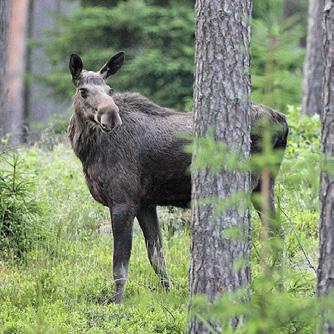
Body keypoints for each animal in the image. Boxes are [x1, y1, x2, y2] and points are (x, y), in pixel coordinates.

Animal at [68, 51, 290, 302]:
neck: (87, 151)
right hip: (263, 186)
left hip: (249, 185)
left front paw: (117, 302)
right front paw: (168, 293)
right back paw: (278, 288)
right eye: (83, 90)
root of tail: (282, 121)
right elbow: (156, 255)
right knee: (278, 232)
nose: (111, 117)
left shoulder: (123, 201)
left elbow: (120, 264)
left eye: (109, 89)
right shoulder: (145, 203)